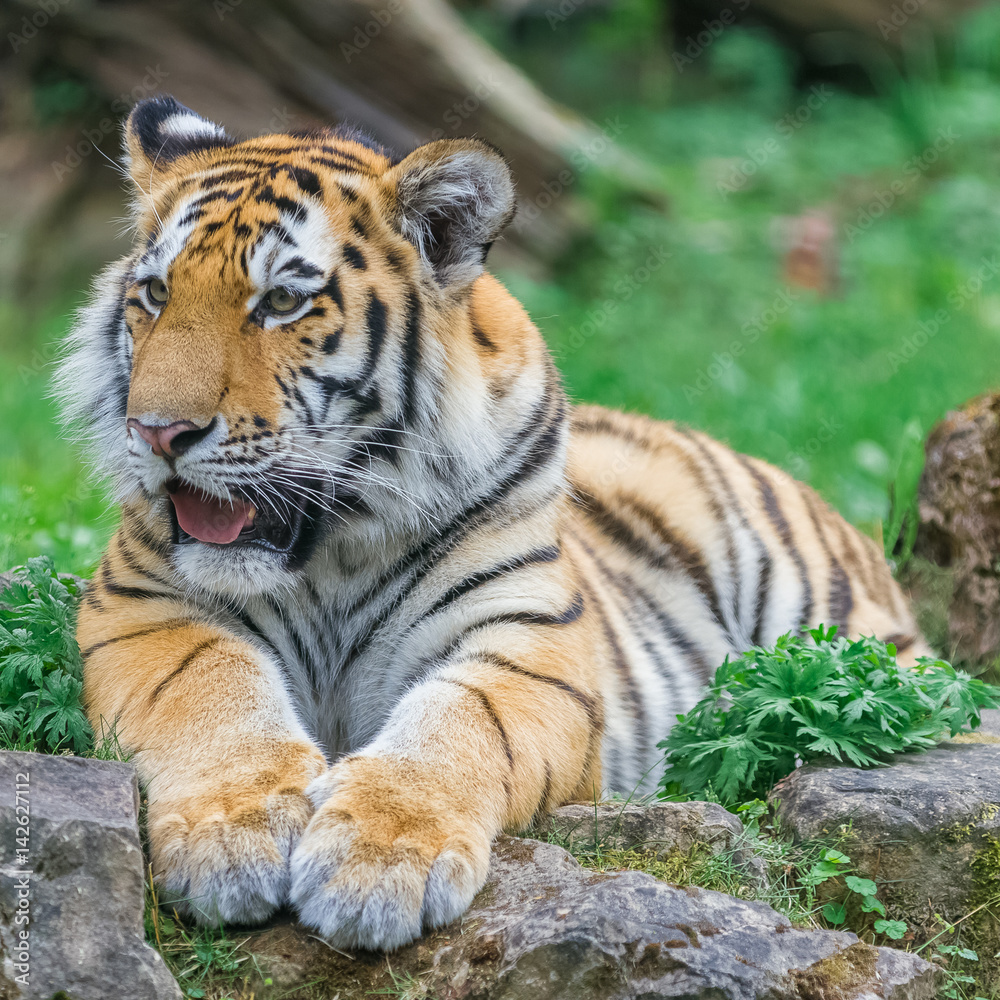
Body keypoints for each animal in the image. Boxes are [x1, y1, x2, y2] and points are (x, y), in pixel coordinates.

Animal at [56, 97, 928, 948]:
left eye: (281, 302)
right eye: (157, 295)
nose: (158, 433)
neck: (330, 551)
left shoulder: (528, 642)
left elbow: (456, 724)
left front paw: (376, 863)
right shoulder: (142, 605)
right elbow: (209, 688)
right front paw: (230, 837)